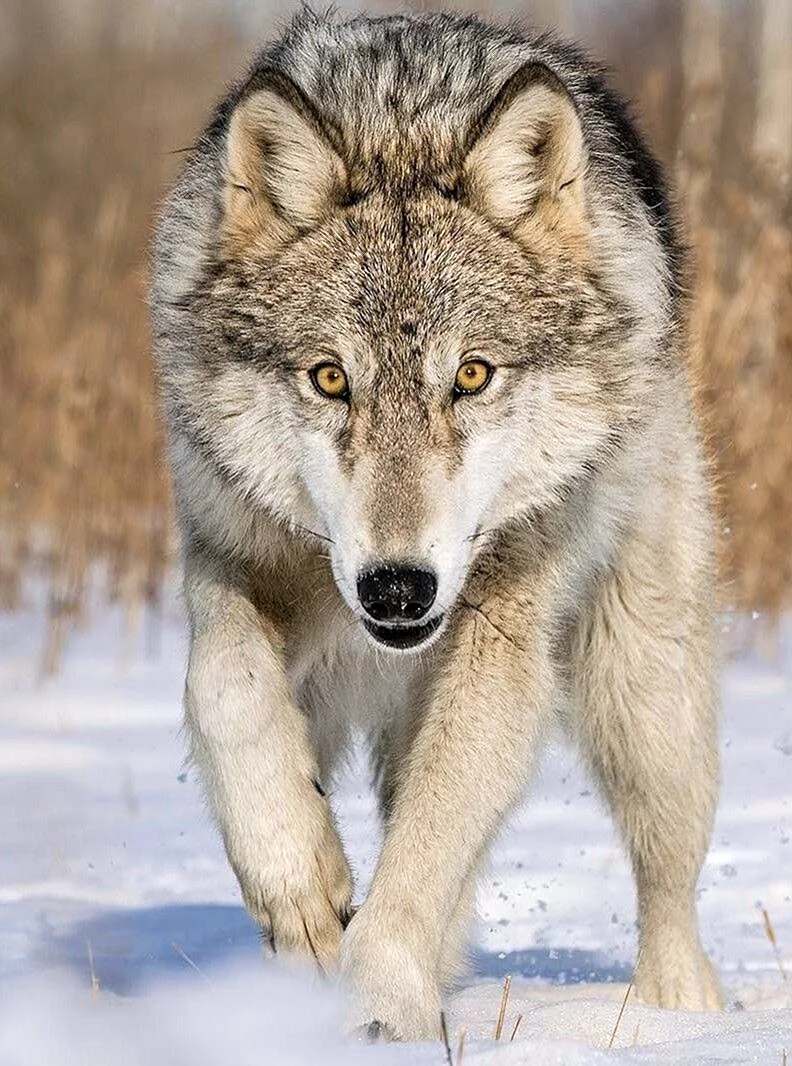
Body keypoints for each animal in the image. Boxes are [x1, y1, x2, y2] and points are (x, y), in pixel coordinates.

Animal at [151, 9, 722, 1039]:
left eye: (472, 375)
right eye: (330, 378)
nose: (396, 588)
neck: (400, 125)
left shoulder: (501, 638)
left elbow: (429, 847)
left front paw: (378, 1005)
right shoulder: (226, 554)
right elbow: (224, 688)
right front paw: (300, 886)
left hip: (646, 697)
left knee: (667, 879)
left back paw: (680, 1019)